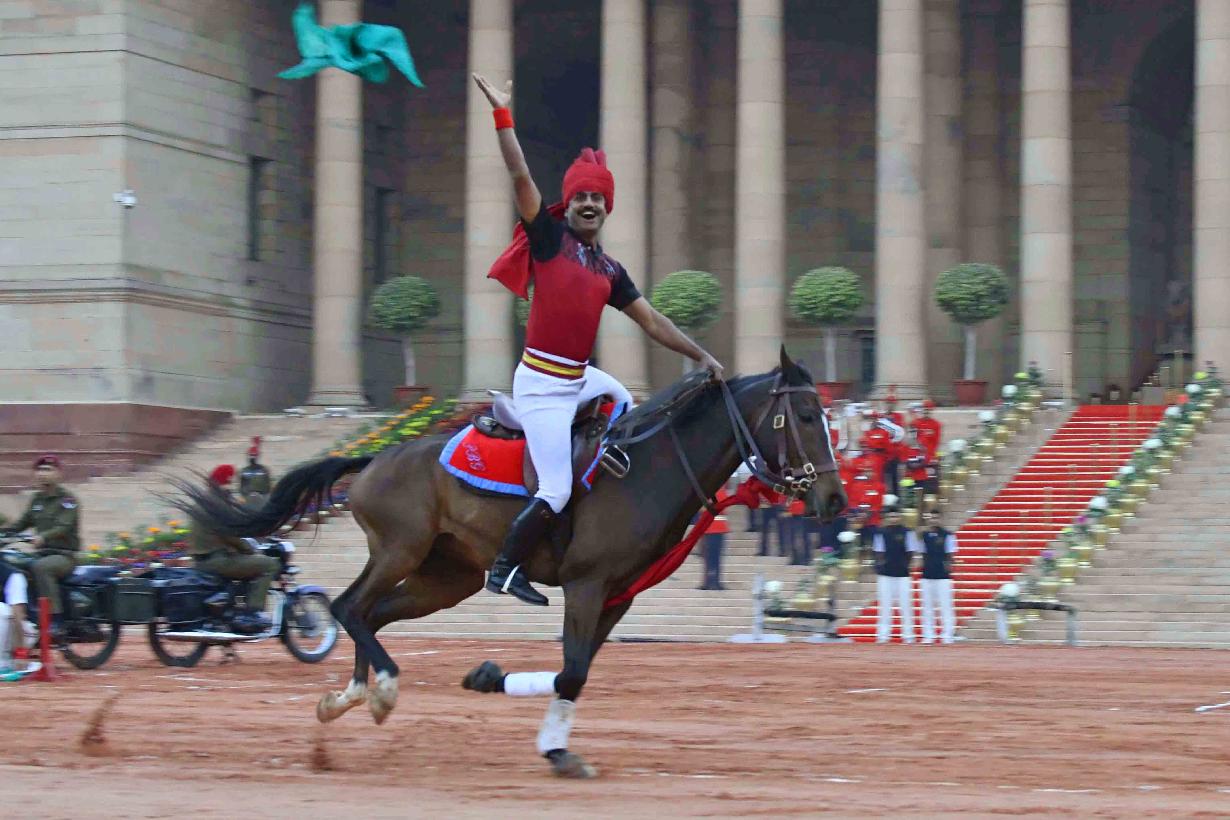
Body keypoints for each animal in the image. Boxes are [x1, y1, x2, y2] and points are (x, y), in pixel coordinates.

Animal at [175, 347, 846, 778]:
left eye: (828, 415)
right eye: (805, 416)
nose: (836, 500)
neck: (647, 466)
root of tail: (375, 458)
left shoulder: (618, 594)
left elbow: (578, 674)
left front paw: (554, 746)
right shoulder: (586, 583)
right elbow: (570, 672)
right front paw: (489, 678)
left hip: (447, 577)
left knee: (369, 613)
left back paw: (353, 696)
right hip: (401, 549)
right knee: (348, 605)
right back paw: (379, 688)